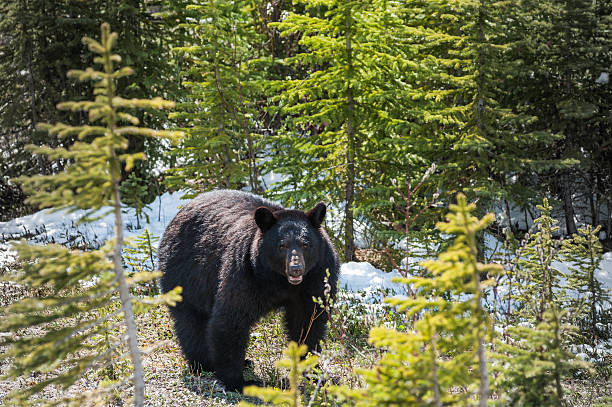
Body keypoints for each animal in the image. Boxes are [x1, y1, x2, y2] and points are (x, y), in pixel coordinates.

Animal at [158, 191, 340, 392]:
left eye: (306, 244)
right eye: (282, 245)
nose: (296, 269)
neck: (280, 281)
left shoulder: (316, 277)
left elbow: (308, 321)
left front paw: (316, 373)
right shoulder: (246, 273)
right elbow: (231, 317)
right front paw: (237, 381)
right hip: (186, 275)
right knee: (192, 322)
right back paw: (203, 363)